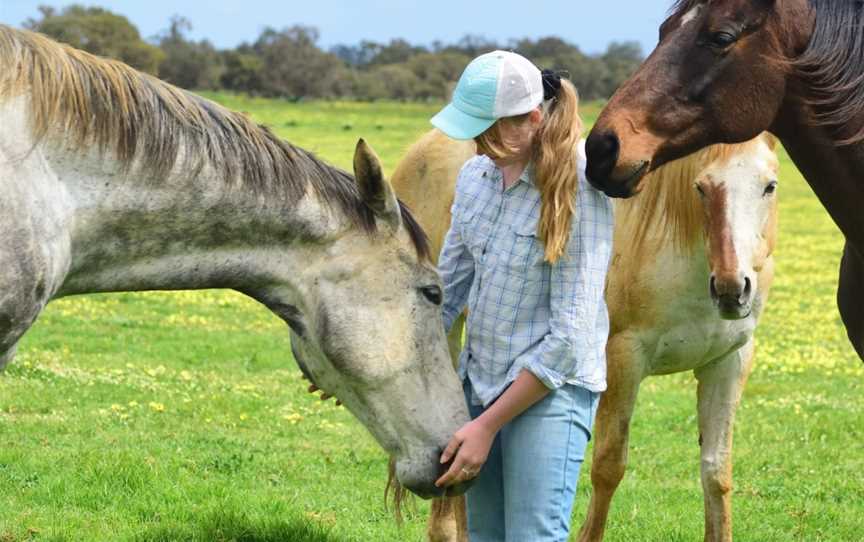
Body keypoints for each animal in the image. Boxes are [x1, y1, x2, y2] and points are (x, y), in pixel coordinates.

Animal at [388, 130, 780, 540]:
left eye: (769, 186)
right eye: (701, 188)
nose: (732, 289)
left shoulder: (728, 362)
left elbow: (716, 471)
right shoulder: (624, 359)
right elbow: (608, 466)